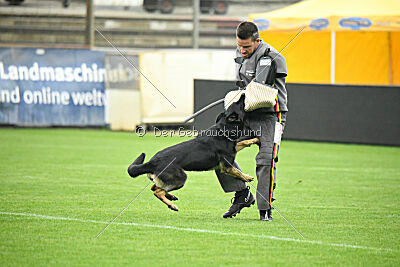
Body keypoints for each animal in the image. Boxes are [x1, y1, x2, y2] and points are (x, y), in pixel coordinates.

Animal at [128, 96, 260, 211]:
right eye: (239, 103)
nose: (243, 94)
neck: (223, 130)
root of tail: (152, 162)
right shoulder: (227, 167)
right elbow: (238, 172)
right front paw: (247, 177)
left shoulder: (233, 148)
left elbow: (243, 142)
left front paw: (255, 140)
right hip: (180, 178)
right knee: (158, 192)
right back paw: (172, 205)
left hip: (164, 180)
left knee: (154, 187)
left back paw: (171, 197)